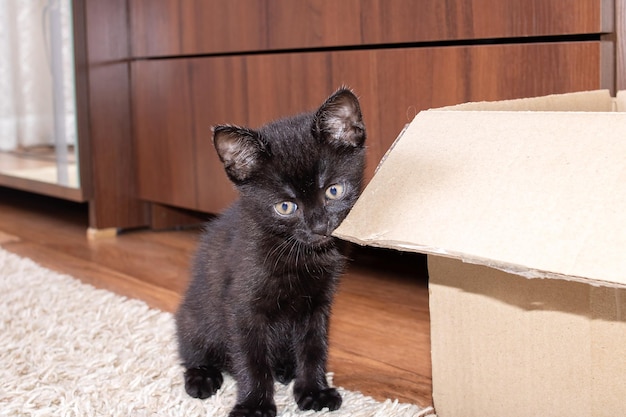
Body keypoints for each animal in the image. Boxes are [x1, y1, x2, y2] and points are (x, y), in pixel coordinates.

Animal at [173, 88, 364, 416]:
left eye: (334, 191)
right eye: (285, 207)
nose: (319, 226)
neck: (300, 255)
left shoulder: (319, 302)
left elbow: (314, 346)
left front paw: (314, 391)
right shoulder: (241, 307)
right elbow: (252, 359)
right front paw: (254, 405)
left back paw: (285, 370)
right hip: (193, 317)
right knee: (194, 349)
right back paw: (202, 376)